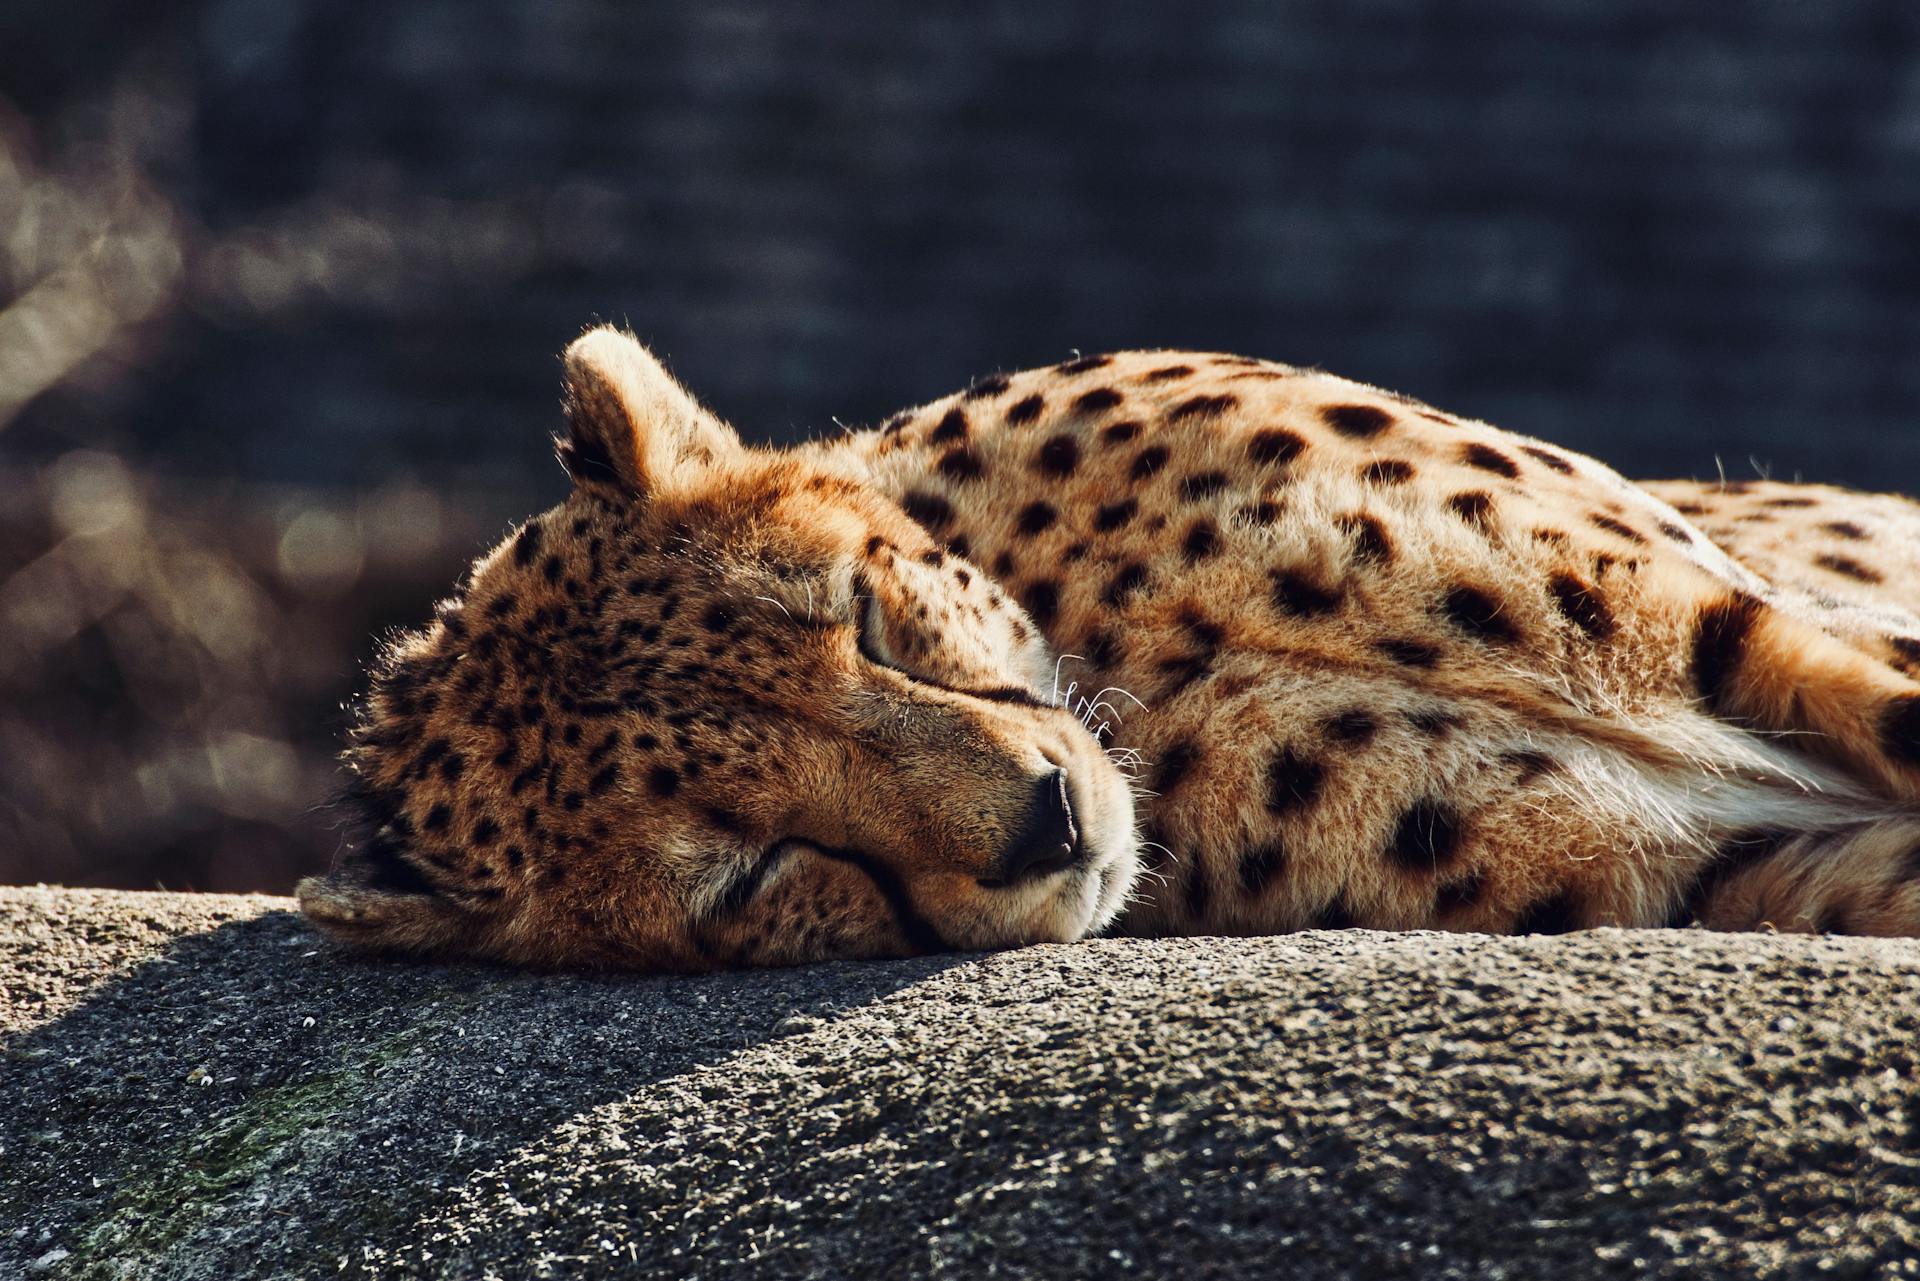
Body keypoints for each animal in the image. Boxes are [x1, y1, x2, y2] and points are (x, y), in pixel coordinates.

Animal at [291, 326, 1920, 967]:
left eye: (858, 618)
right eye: (751, 872)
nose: (1047, 822)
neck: (1115, 656)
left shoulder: (1733, 627)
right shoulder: (1712, 874)